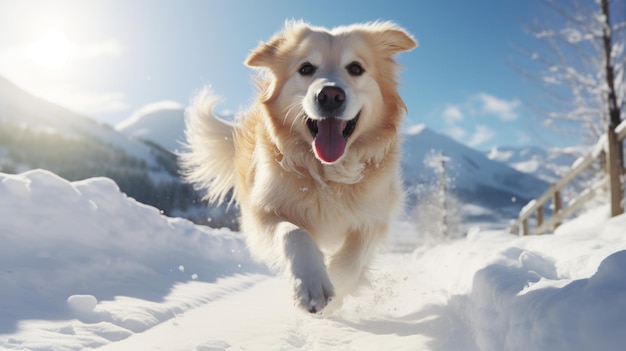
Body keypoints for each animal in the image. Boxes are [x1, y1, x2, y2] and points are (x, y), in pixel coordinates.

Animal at [179, 20, 414, 314]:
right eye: (306, 68)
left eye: (356, 68)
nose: (330, 95)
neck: (328, 172)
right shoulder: (263, 210)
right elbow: (294, 232)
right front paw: (312, 284)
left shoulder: (376, 215)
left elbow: (352, 259)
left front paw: (335, 287)